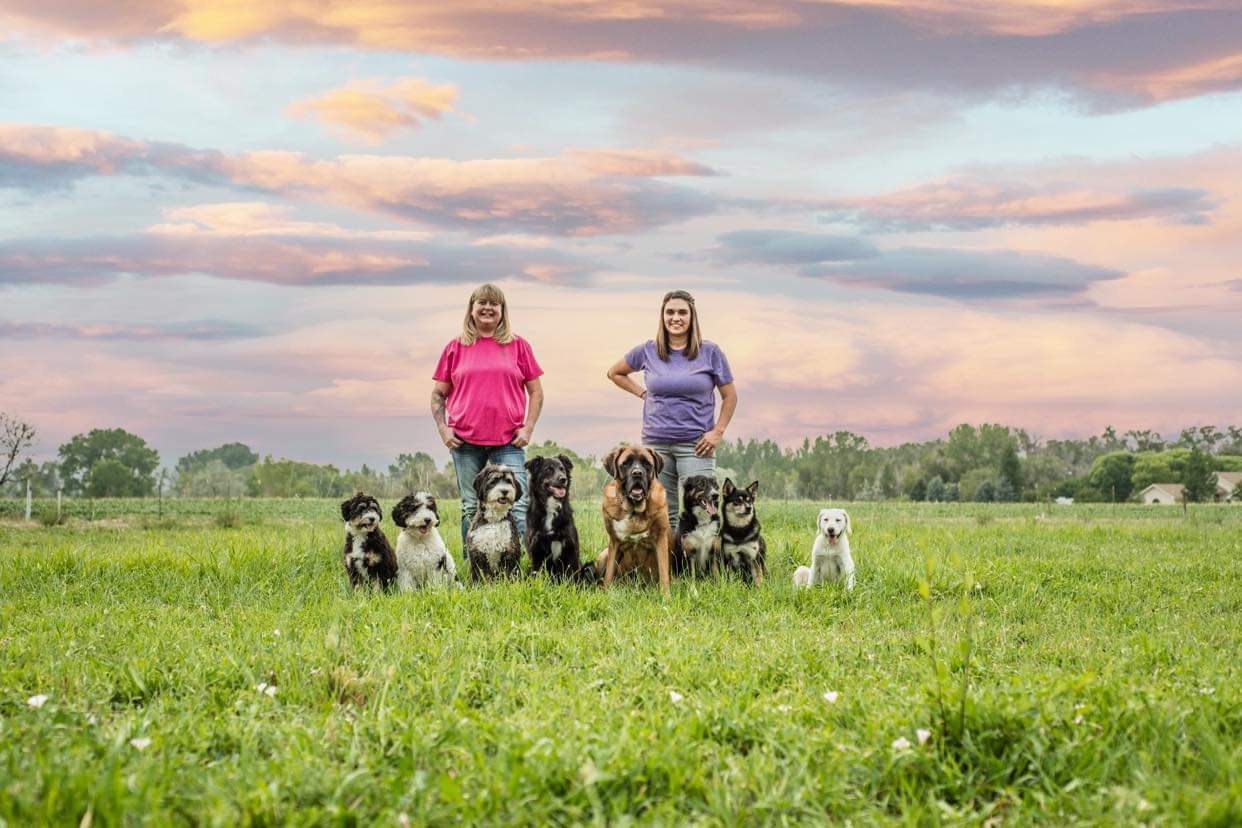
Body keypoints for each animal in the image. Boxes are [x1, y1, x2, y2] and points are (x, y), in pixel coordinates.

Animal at [524, 454, 596, 583]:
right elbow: (537, 575)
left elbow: (573, 577)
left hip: (589, 567)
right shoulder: (536, 552)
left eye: (562, 469)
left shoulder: (571, 550)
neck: (550, 510)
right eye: (548, 469)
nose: (563, 479)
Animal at [598, 446, 675, 595]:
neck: (634, 510)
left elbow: (663, 573)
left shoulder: (660, 541)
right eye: (626, 463)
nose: (637, 473)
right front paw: (606, 594)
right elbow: (609, 574)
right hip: (602, 555)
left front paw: (666, 596)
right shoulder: (614, 543)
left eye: (647, 464)